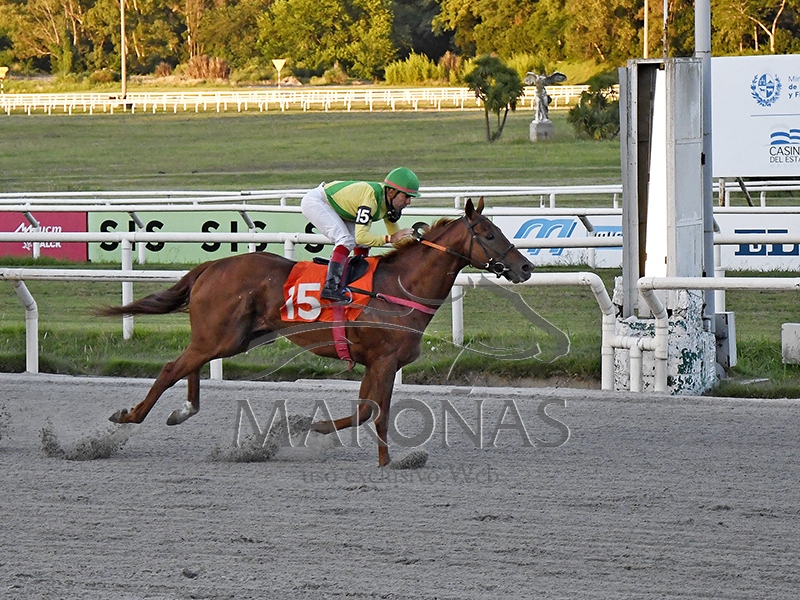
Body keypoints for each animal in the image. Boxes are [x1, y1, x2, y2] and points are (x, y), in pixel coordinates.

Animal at [100, 198, 533, 466]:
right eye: (489, 234)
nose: (526, 267)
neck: (400, 287)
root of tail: (212, 266)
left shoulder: (376, 362)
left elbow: (364, 411)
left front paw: (311, 427)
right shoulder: (384, 360)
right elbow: (375, 413)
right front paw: (382, 460)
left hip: (229, 338)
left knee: (190, 365)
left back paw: (183, 410)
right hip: (221, 336)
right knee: (172, 368)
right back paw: (130, 416)